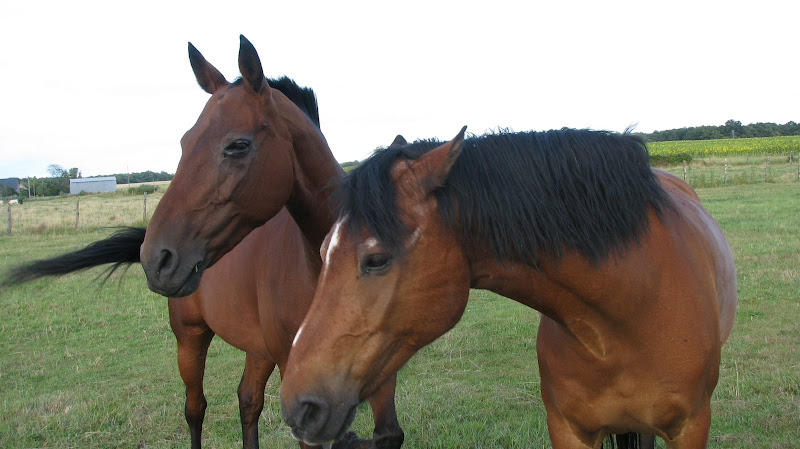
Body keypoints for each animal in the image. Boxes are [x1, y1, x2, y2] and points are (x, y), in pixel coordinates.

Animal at [4, 36, 406, 448]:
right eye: (185, 142)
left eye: (237, 145)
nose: (157, 258)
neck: (320, 270)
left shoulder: (378, 368)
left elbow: (389, 434)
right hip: (191, 339)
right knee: (196, 408)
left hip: (256, 349)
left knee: (248, 400)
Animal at [282, 127, 736, 448]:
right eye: (323, 250)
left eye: (375, 259)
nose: (297, 407)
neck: (628, 313)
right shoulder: (568, 430)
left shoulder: (691, 427)